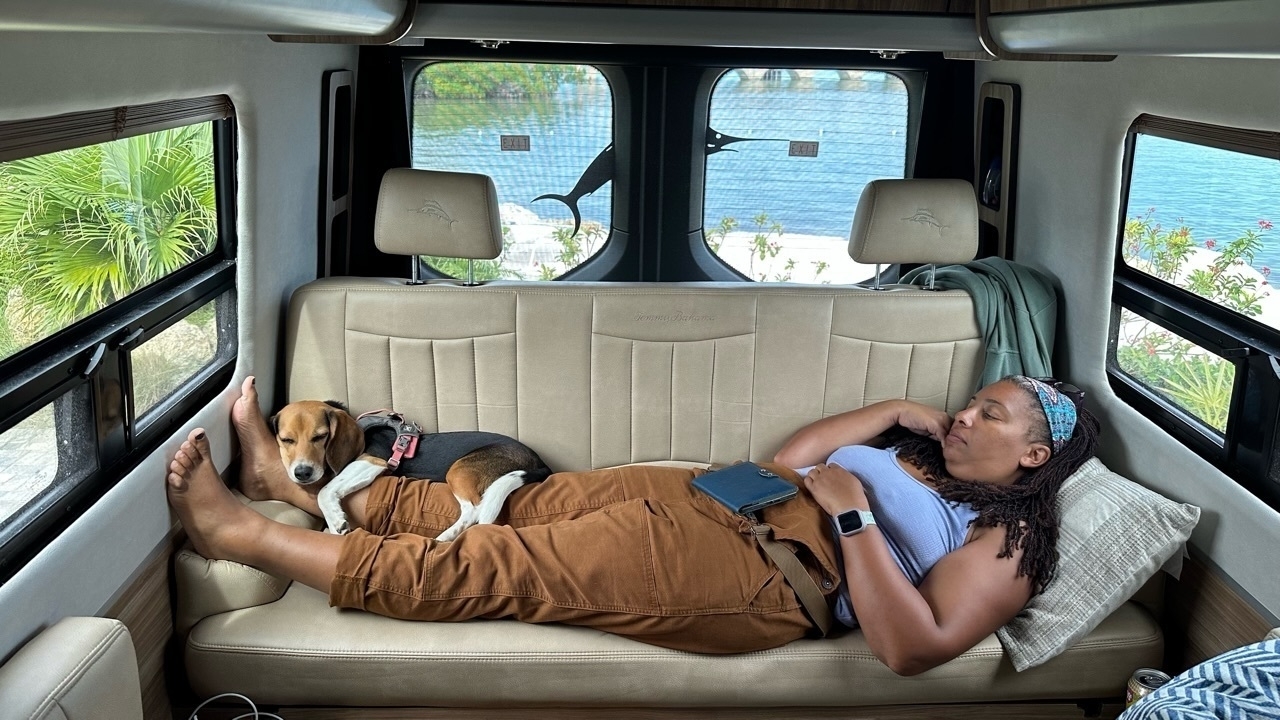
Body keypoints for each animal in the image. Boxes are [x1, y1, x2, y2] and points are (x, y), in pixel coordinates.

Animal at [270, 399, 550, 535]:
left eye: (321, 437)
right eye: (286, 440)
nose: (302, 473)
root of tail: (539, 461)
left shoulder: (373, 460)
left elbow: (325, 490)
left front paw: (336, 521)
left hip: (459, 470)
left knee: (473, 511)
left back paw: (444, 538)